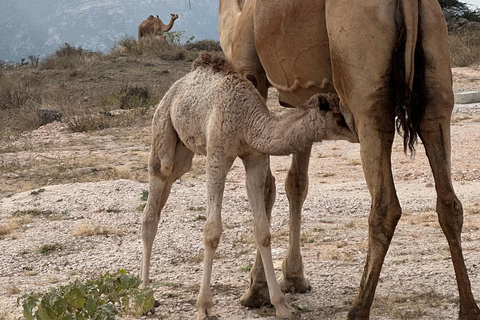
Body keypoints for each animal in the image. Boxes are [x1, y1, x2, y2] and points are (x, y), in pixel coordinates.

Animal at [139, 52, 356, 320]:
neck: (247, 120)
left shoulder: (255, 158)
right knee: (155, 195)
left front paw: (281, 305)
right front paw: (204, 307)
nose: (357, 131)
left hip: (183, 152)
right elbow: (212, 231)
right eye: (339, 116)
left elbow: (263, 231)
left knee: (164, 192)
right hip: (163, 127)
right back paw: (145, 296)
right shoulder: (218, 154)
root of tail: (174, 89)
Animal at [218, 0, 480, 318]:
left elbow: (265, 187)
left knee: (385, 206)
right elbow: (297, 184)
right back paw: (469, 309)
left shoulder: (251, 73)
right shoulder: (304, 99)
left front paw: (257, 292)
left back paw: (358, 308)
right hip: (437, 76)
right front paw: (294, 279)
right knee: (449, 202)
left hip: (366, 91)